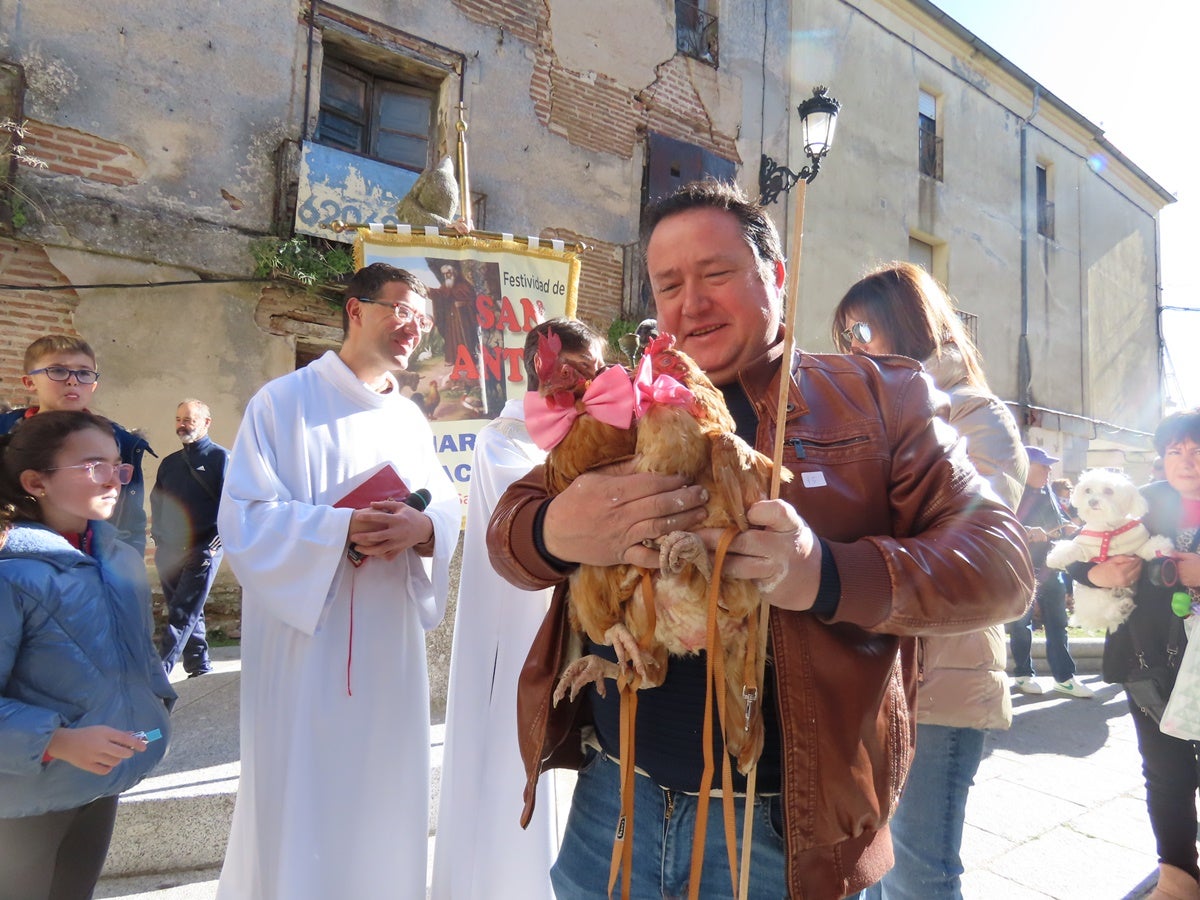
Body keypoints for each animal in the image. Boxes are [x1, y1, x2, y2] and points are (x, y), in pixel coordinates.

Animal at [1051, 468, 1171, 628]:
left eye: (1108, 491)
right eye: (1087, 490)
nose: (1092, 501)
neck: (1109, 530)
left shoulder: (1136, 542)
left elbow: (1146, 546)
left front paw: (1162, 547)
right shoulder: (1086, 547)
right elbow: (1072, 547)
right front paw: (1054, 558)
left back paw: (1123, 605)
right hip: (1093, 594)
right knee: (1106, 611)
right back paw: (1120, 607)